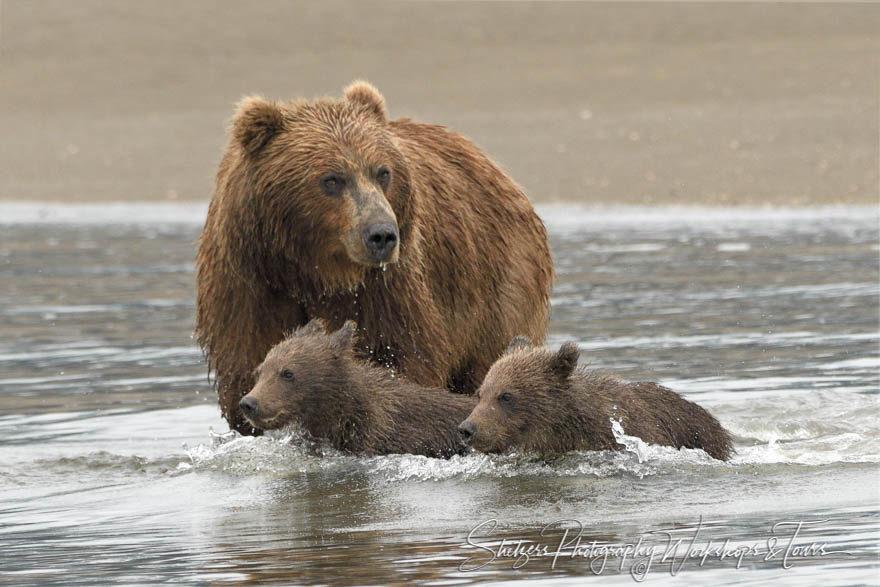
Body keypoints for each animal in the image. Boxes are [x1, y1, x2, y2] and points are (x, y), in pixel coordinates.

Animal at [197, 80, 552, 434]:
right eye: (331, 179)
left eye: (383, 172)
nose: (382, 234)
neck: (314, 271)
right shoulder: (252, 284)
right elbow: (246, 362)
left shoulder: (386, 290)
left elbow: (403, 358)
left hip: (496, 285)